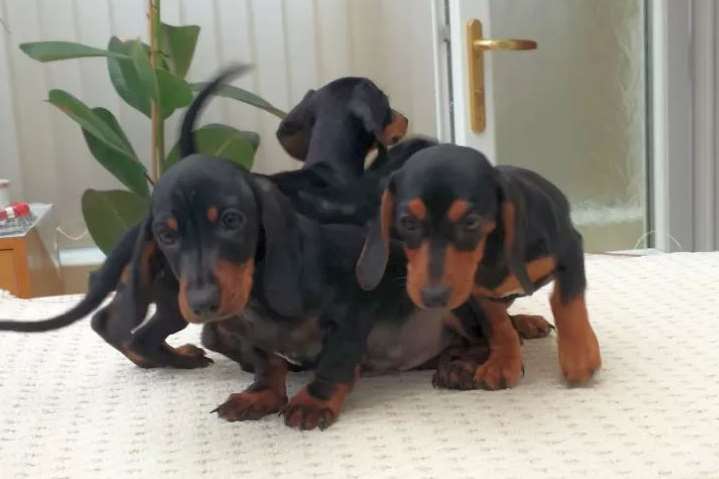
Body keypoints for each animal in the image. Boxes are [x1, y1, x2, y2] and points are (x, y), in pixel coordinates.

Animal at [358, 145, 600, 390]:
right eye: (407, 223)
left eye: (471, 222)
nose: (433, 298)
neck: (489, 254)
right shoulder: (477, 295)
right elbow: (498, 325)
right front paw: (503, 362)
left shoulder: (570, 251)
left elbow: (566, 303)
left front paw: (579, 357)